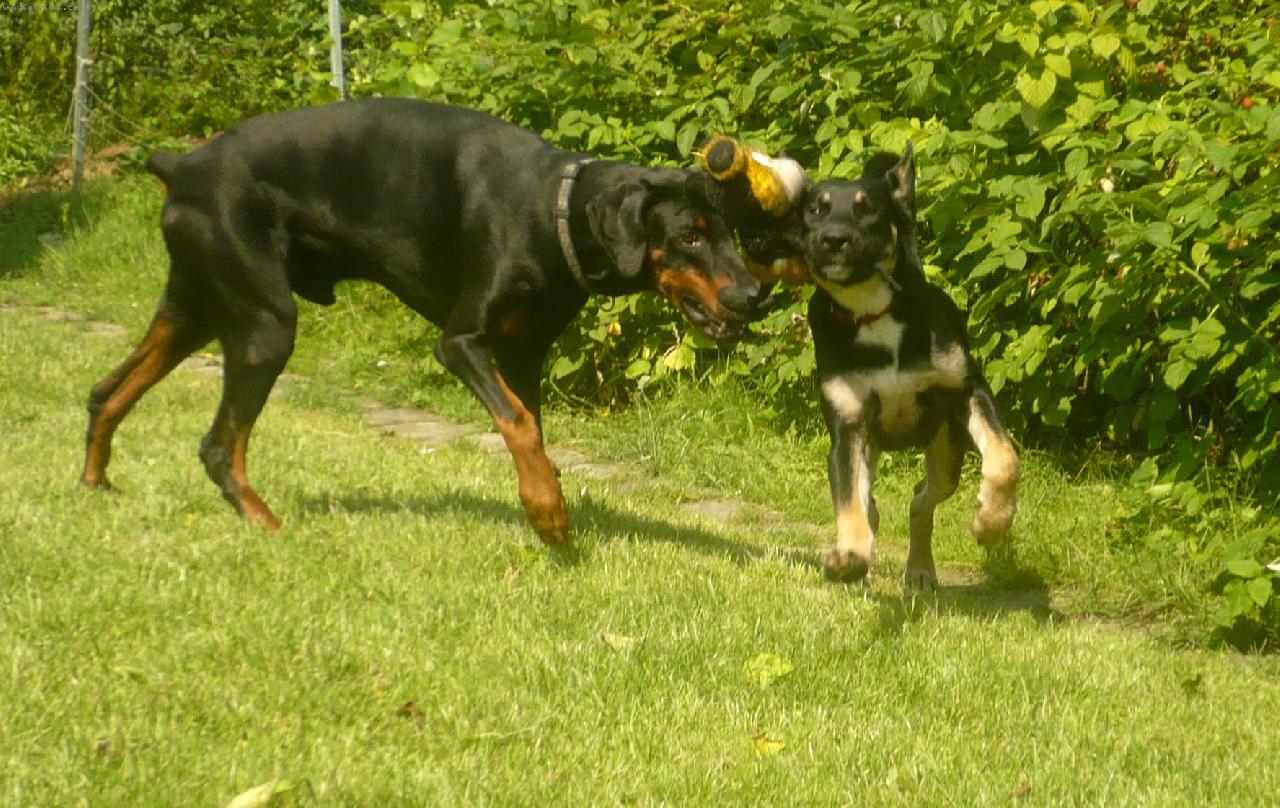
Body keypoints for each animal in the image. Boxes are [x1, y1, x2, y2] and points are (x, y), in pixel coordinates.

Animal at [80, 98, 762, 544]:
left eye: (730, 232)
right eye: (689, 237)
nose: (754, 295)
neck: (553, 211)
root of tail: (181, 166)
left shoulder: (523, 353)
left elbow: (532, 431)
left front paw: (544, 504)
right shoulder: (462, 343)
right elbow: (518, 424)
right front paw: (547, 511)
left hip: (196, 307)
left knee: (106, 392)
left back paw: (95, 488)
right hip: (264, 326)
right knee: (218, 445)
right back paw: (268, 524)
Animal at [797, 144, 1020, 589]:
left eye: (868, 209)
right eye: (816, 209)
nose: (834, 240)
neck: (872, 312)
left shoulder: (968, 389)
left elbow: (1005, 459)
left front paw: (991, 523)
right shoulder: (847, 425)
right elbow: (850, 503)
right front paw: (848, 558)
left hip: (947, 449)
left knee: (921, 498)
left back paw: (919, 569)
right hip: (874, 446)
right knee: (872, 503)